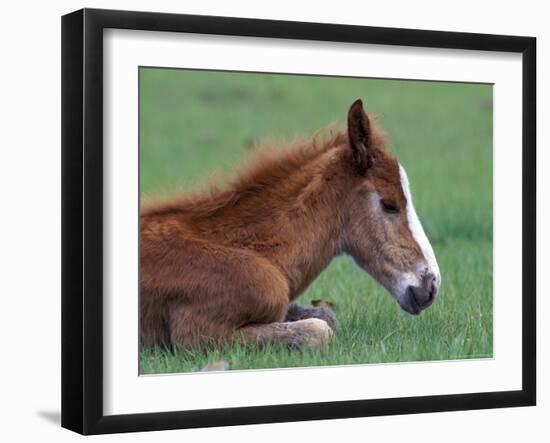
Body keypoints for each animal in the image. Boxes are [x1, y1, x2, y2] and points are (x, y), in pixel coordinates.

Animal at [140, 99, 442, 348]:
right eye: (390, 205)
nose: (431, 285)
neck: (252, 251)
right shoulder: (196, 332)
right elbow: (320, 329)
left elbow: (326, 314)